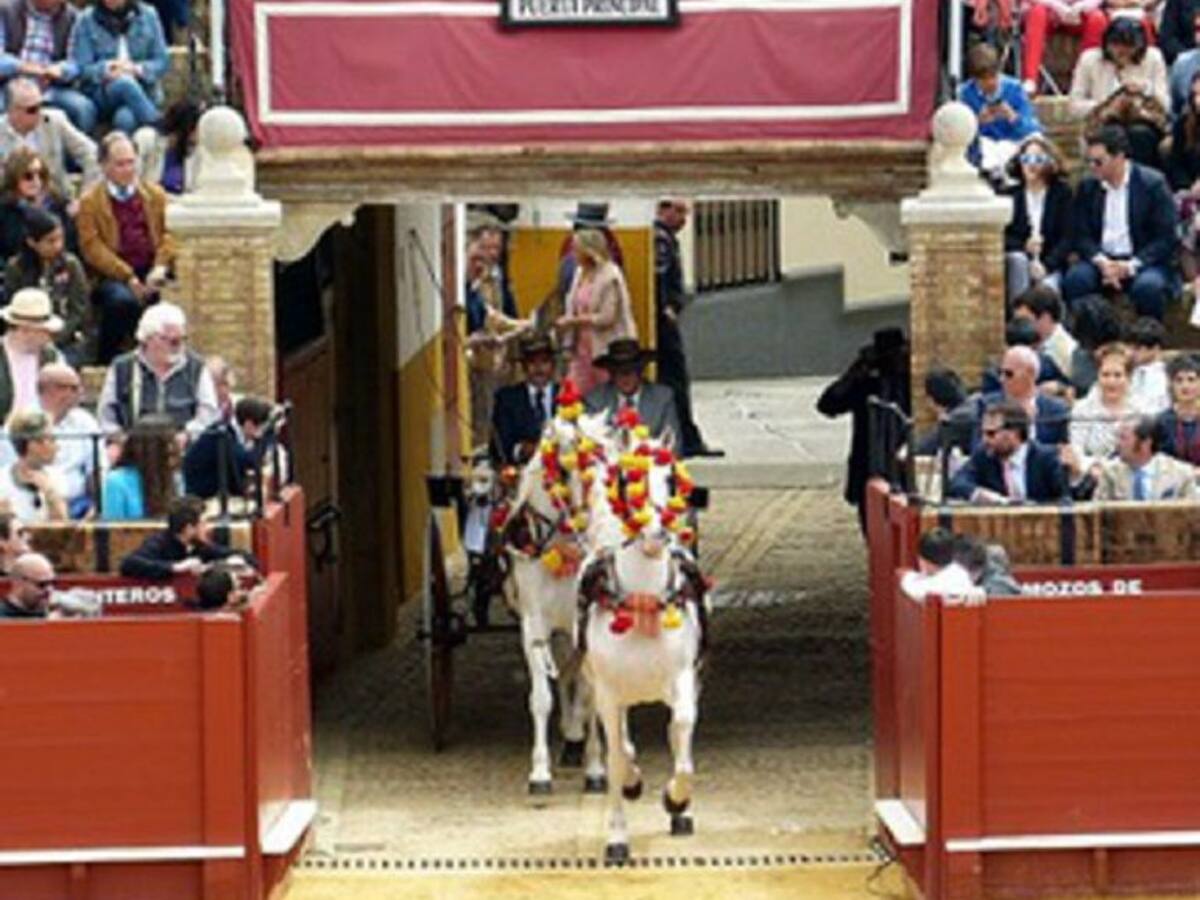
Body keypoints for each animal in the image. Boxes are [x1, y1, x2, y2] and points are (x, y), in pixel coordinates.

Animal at [578, 420, 708, 863]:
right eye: (625, 479)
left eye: (670, 479)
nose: (657, 533)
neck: (643, 602)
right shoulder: (608, 692)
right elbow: (618, 757)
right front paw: (618, 834)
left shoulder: (683, 680)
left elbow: (681, 736)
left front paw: (676, 799)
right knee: (621, 742)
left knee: (675, 735)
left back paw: (682, 813)